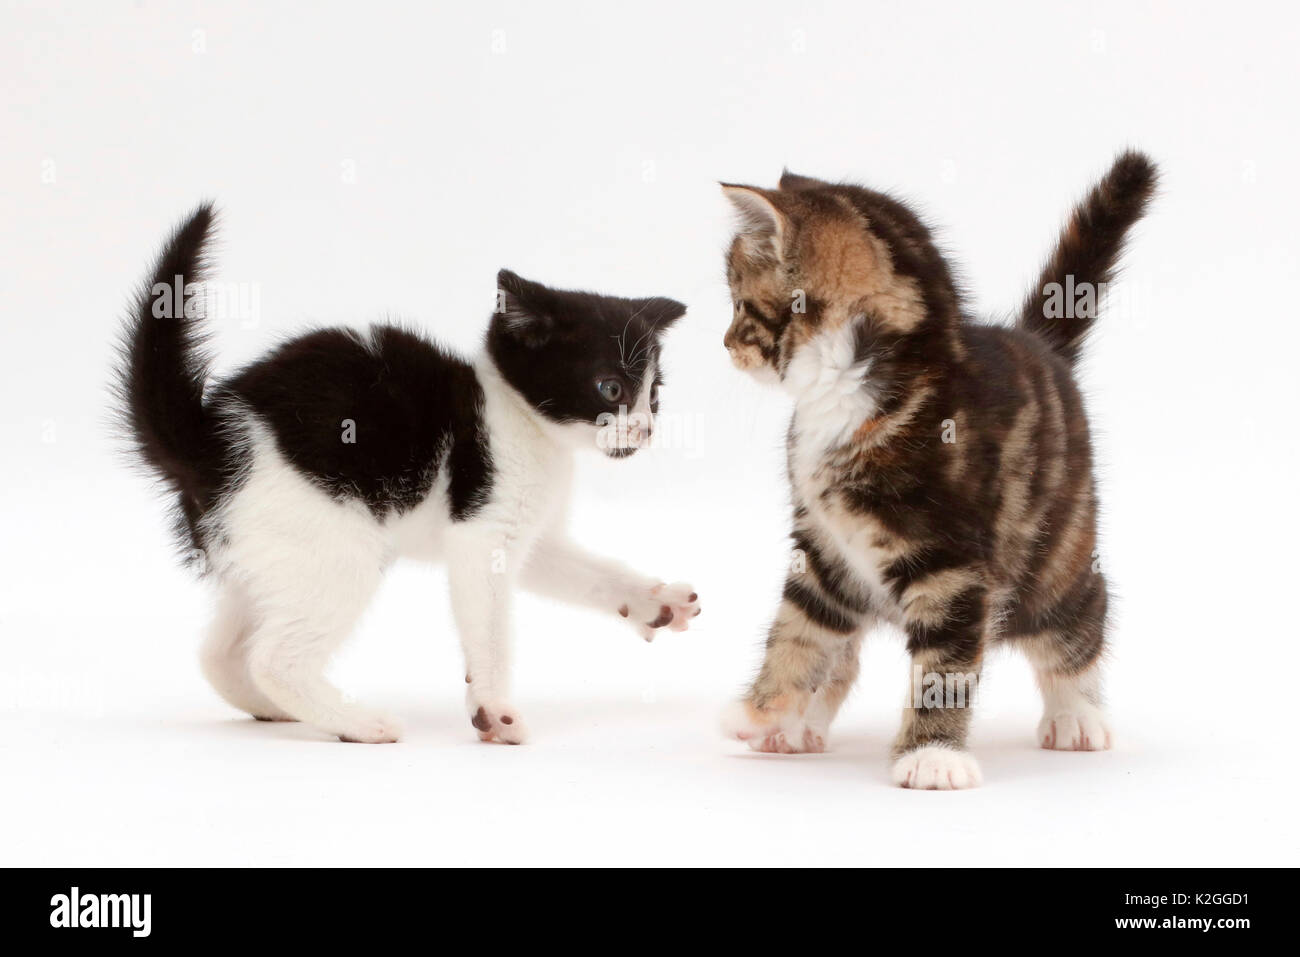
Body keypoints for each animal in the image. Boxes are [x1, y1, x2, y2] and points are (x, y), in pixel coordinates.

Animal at [115, 208, 696, 748]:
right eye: (610, 388)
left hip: (266, 552)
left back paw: (276, 708)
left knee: (220, 652)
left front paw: (654, 602)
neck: (525, 423)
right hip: (333, 541)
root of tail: (207, 441)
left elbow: (587, 572)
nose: (645, 429)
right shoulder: (483, 532)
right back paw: (358, 723)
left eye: (654, 395)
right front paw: (494, 711)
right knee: (274, 658)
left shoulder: (530, 537)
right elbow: (490, 630)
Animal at [722, 153, 1159, 790]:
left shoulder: (953, 564)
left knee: (1078, 616)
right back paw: (797, 725)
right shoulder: (822, 550)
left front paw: (932, 755)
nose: (726, 344)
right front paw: (762, 710)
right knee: (842, 650)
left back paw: (1076, 713)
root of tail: (1041, 345)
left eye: (740, 305)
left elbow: (942, 668)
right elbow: (799, 631)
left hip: (1054, 552)